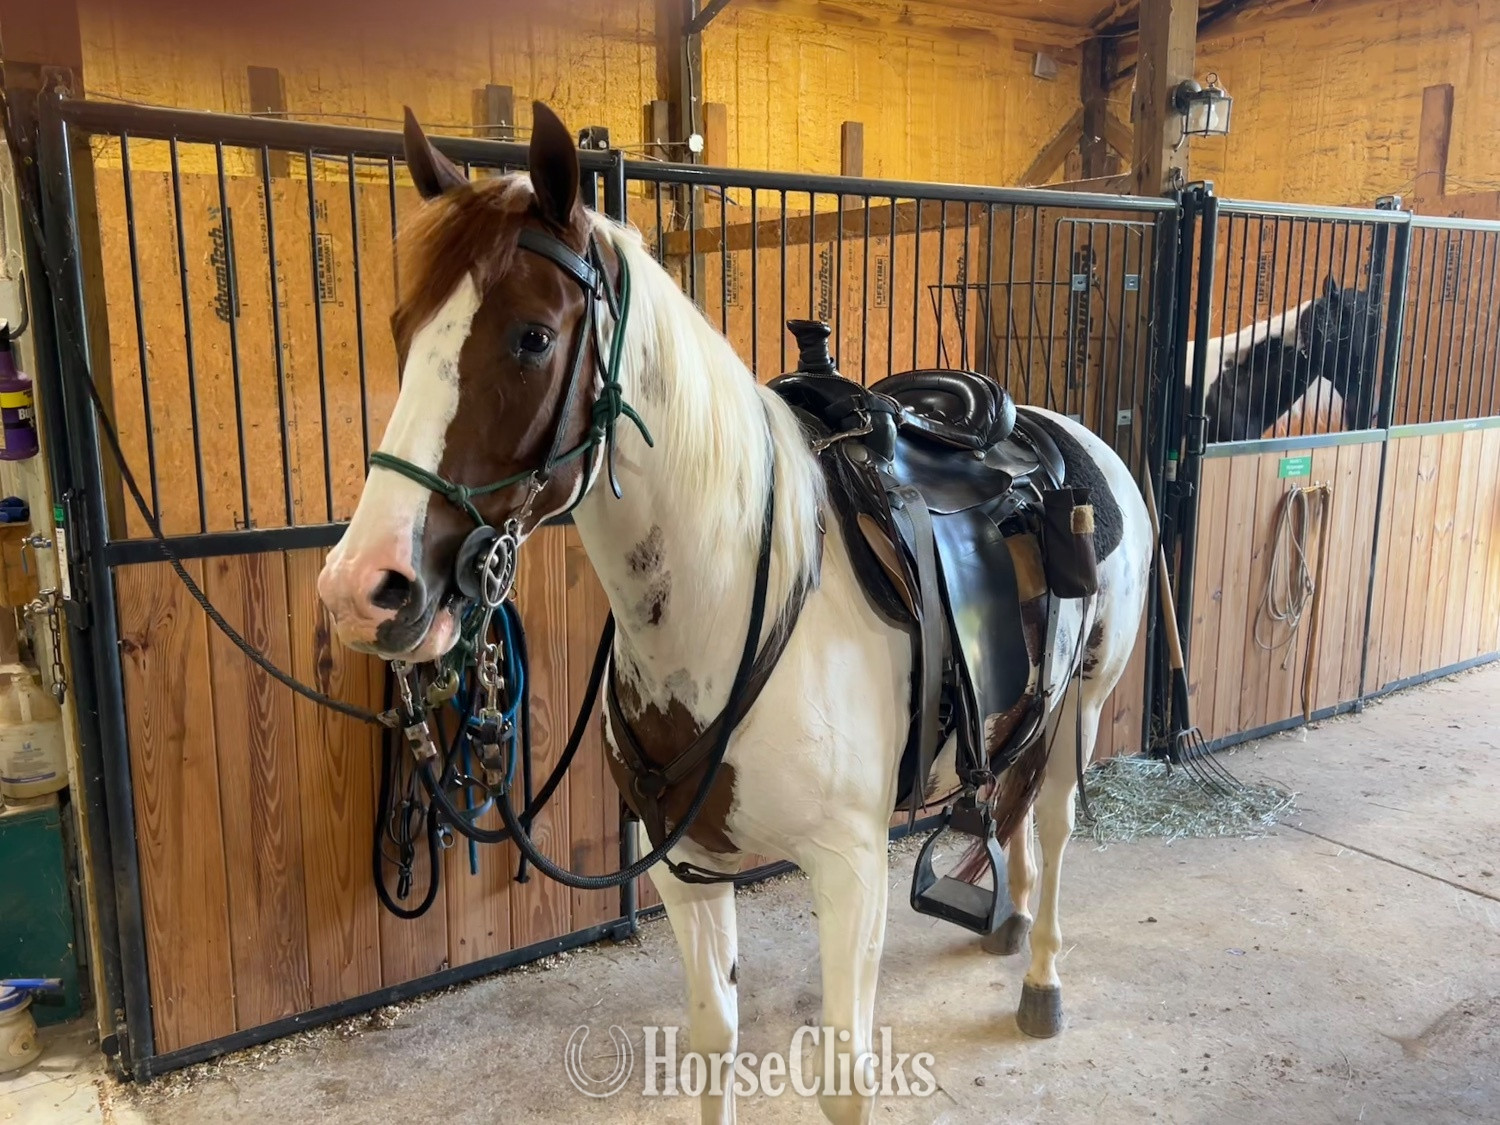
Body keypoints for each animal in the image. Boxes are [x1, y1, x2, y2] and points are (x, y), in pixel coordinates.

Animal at [316, 101, 1153, 1124]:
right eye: (402, 327)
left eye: (532, 338)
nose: (365, 587)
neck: (732, 611)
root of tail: (1061, 433)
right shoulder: (687, 867)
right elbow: (713, 1043)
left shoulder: (850, 870)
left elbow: (843, 1079)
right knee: (1018, 802)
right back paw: (1008, 915)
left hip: (1086, 706)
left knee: (1060, 822)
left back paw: (1041, 981)